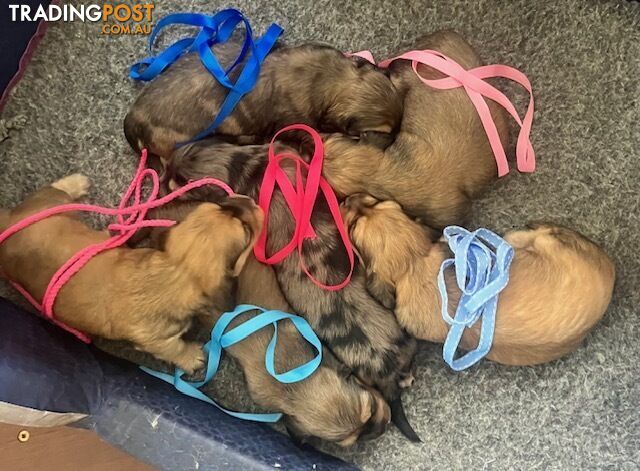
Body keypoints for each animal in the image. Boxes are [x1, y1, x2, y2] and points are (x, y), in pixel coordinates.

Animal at [0, 175, 262, 374]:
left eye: (219, 207)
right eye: (244, 229)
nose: (247, 200)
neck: (173, 272)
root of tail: (8, 221)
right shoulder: (159, 342)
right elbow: (175, 349)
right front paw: (192, 358)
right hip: (49, 203)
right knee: (54, 190)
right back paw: (76, 182)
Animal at [342, 194, 616, 366]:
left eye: (353, 226)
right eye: (376, 201)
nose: (346, 198)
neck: (413, 265)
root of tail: (610, 270)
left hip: (535, 241)